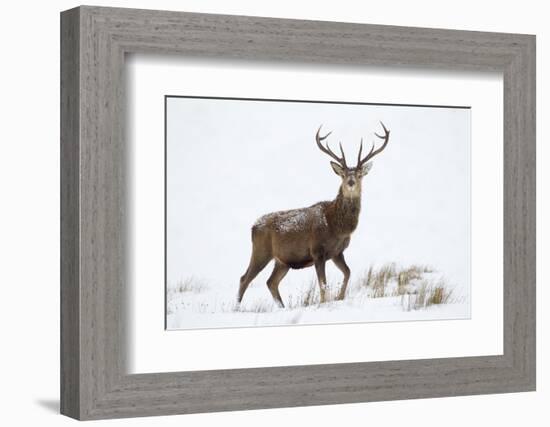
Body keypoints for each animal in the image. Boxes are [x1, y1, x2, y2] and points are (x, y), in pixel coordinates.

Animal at [238, 123, 392, 308]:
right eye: (342, 174)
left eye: (360, 174)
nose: (351, 182)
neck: (336, 227)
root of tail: (253, 226)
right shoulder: (317, 251)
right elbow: (323, 284)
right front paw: (323, 303)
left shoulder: (337, 252)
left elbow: (348, 272)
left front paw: (339, 297)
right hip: (261, 250)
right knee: (244, 278)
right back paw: (236, 307)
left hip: (282, 261)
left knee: (271, 282)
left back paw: (282, 307)